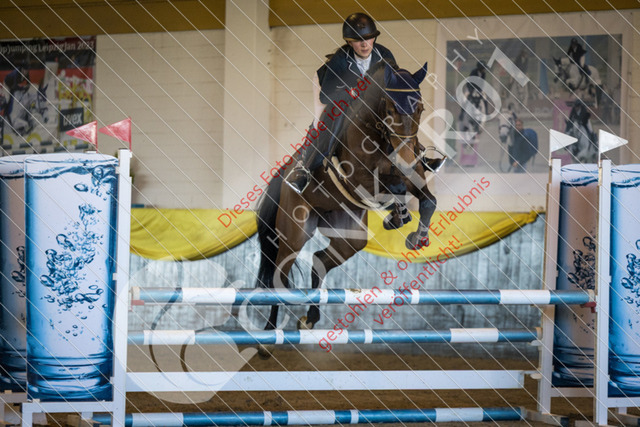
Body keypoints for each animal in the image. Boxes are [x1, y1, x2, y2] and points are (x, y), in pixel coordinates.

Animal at [254, 61, 437, 351]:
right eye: (390, 109)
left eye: (420, 108)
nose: (406, 158)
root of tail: (284, 176)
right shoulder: (360, 179)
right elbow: (395, 188)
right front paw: (398, 215)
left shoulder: (414, 174)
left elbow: (428, 200)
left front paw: (415, 236)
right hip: (295, 232)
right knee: (279, 276)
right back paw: (269, 335)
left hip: (350, 236)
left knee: (320, 260)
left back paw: (310, 318)